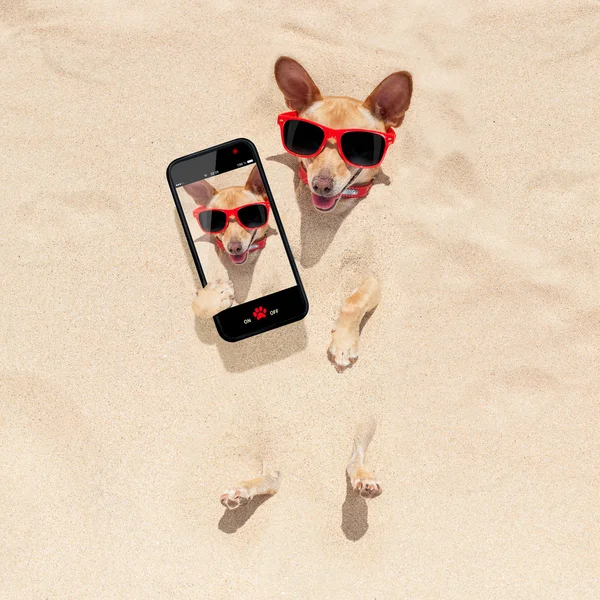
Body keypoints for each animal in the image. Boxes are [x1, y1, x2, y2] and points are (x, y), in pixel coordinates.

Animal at [276, 58, 412, 372]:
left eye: (360, 148)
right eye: (306, 139)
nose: (321, 185)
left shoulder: (374, 275)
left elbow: (353, 301)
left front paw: (343, 341)